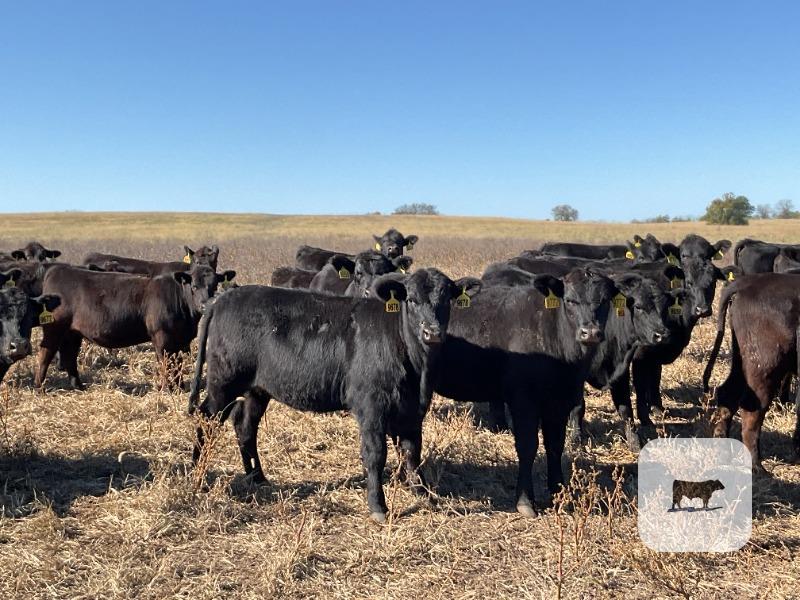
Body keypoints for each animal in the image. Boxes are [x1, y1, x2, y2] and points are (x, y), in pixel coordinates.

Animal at [34, 264, 235, 390]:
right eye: (193, 286)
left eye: (214, 285)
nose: (205, 304)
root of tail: (58, 269)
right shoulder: (162, 337)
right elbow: (165, 363)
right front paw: (167, 388)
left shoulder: (180, 340)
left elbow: (177, 365)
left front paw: (179, 387)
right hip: (54, 328)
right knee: (46, 353)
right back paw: (39, 386)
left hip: (72, 332)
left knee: (70, 356)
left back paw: (78, 386)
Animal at [187, 269, 481, 523]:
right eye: (411, 299)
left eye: (447, 299)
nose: (432, 333)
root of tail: (222, 299)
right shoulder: (370, 407)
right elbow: (376, 454)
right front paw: (378, 506)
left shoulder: (412, 410)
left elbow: (412, 451)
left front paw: (422, 493)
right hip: (223, 383)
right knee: (206, 419)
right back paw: (198, 476)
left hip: (257, 389)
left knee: (245, 425)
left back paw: (257, 477)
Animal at [433, 269, 619, 515]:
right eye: (570, 300)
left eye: (604, 300)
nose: (590, 332)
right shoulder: (523, 401)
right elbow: (528, 446)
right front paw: (525, 501)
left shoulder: (558, 402)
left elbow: (555, 445)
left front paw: (559, 492)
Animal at [703, 273, 800, 470]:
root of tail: (745, 283)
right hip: (765, 366)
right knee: (752, 410)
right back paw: (756, 466)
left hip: (742, 361)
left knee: (728, 394)